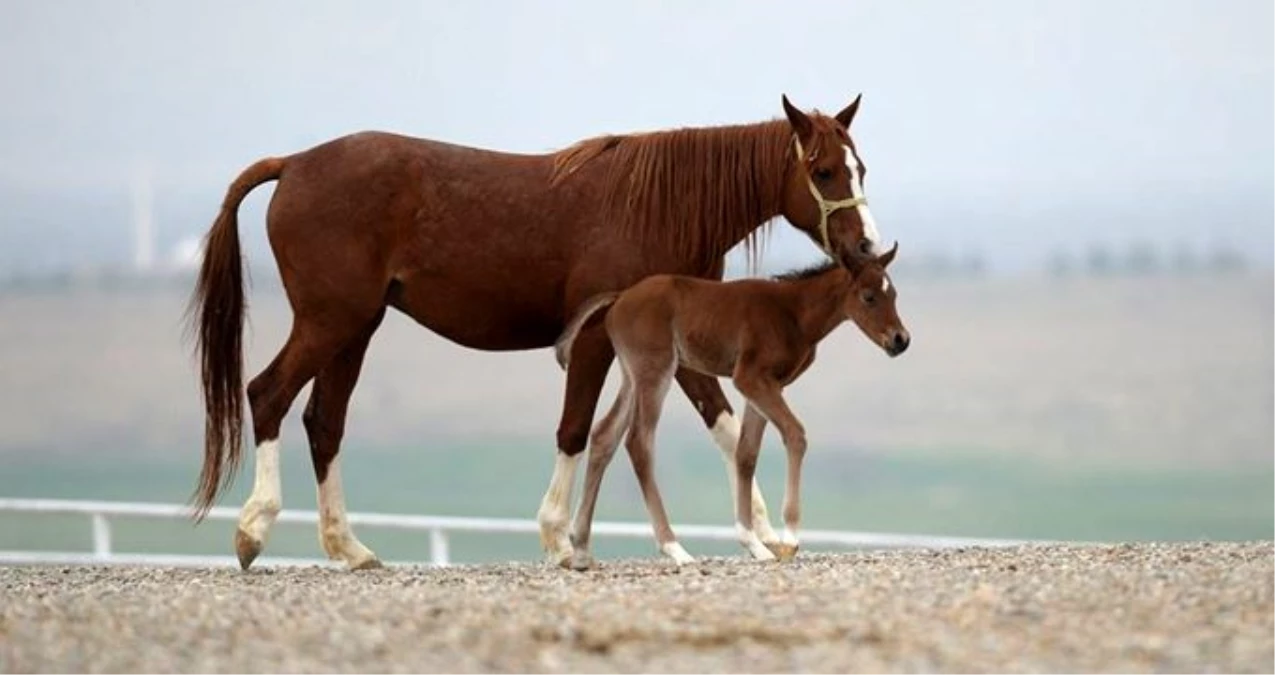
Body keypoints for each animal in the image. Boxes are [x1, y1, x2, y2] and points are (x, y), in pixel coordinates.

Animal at [555, 243, 907, 569]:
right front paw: (790, 539)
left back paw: (582, 549)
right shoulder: (750, 378)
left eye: (894, 295)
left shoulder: (765, 385)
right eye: (868, 297)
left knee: (604, 436)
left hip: (632, 375)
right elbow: (795, 434)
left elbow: (746, 453)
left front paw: (753, 543)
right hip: (655, 371)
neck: (793, 312)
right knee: (639, 442)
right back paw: (674, 549)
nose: (901, 340)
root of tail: (619, 298)